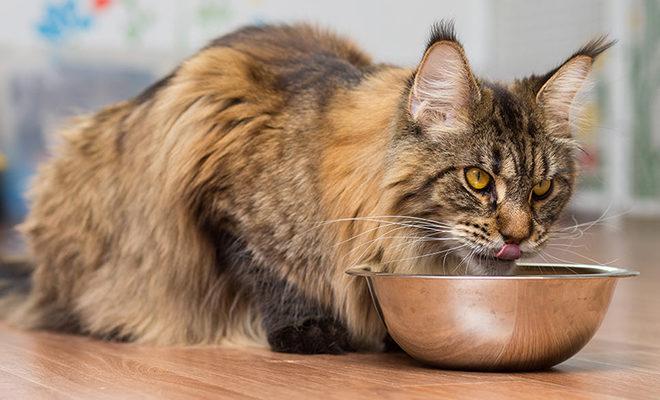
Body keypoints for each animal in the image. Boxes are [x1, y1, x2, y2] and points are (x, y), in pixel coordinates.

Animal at [0, 21, 612, 354]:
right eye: (478, 179)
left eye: (543, 190)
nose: (519, 237)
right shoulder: (219, 187)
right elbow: (268, 269)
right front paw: (309, 331)